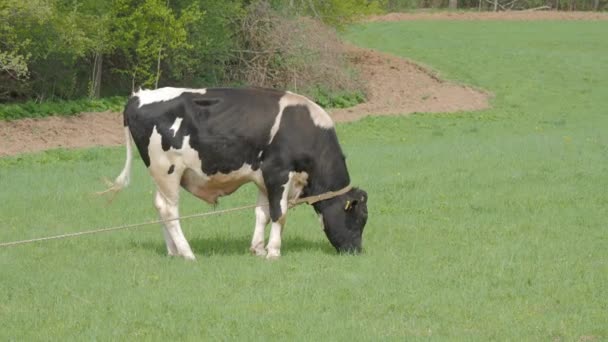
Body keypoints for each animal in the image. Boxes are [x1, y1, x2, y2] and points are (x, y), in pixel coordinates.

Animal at [104, 87, 368, 260]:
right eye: (359, 219)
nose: (355, 251)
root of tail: (138, 96)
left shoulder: (263, 179)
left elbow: (262, 213)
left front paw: (258, 249)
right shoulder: (278, 173)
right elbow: (279, 214)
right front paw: (273, 251)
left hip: (161, 176)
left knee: (160, 207)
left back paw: (173, 251)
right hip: (167, 169)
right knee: (169, 210)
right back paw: (187, 253)